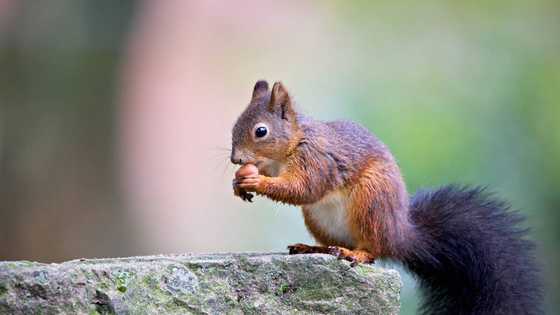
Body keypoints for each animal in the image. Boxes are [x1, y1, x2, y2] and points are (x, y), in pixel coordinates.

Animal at [230, 80, 540, 314]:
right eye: (234, 126)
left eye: (261, 131)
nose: (235, 159)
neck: (288, 149)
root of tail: (400, 235)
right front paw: (238, 183)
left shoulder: (317, 160)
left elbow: (304, 188)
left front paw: (256, 180)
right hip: (319, 219)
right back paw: (314, 249)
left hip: (371, 202)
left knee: (373, 250)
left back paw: (354, 253)